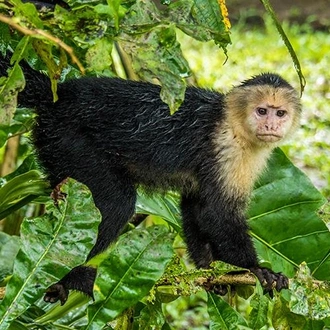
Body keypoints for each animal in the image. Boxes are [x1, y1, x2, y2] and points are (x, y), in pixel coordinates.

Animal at [0, 53, 302, 304]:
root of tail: (57, 95)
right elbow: (218, 214)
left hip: (55, 146)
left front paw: (212, 273)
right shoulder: (230, 150)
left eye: (280, 113)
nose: (271, 125)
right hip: (70, 140)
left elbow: (197, 208)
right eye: (262, 111)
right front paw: (254, 269)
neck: (233, 123)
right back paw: (77, 279)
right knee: (116, 204)